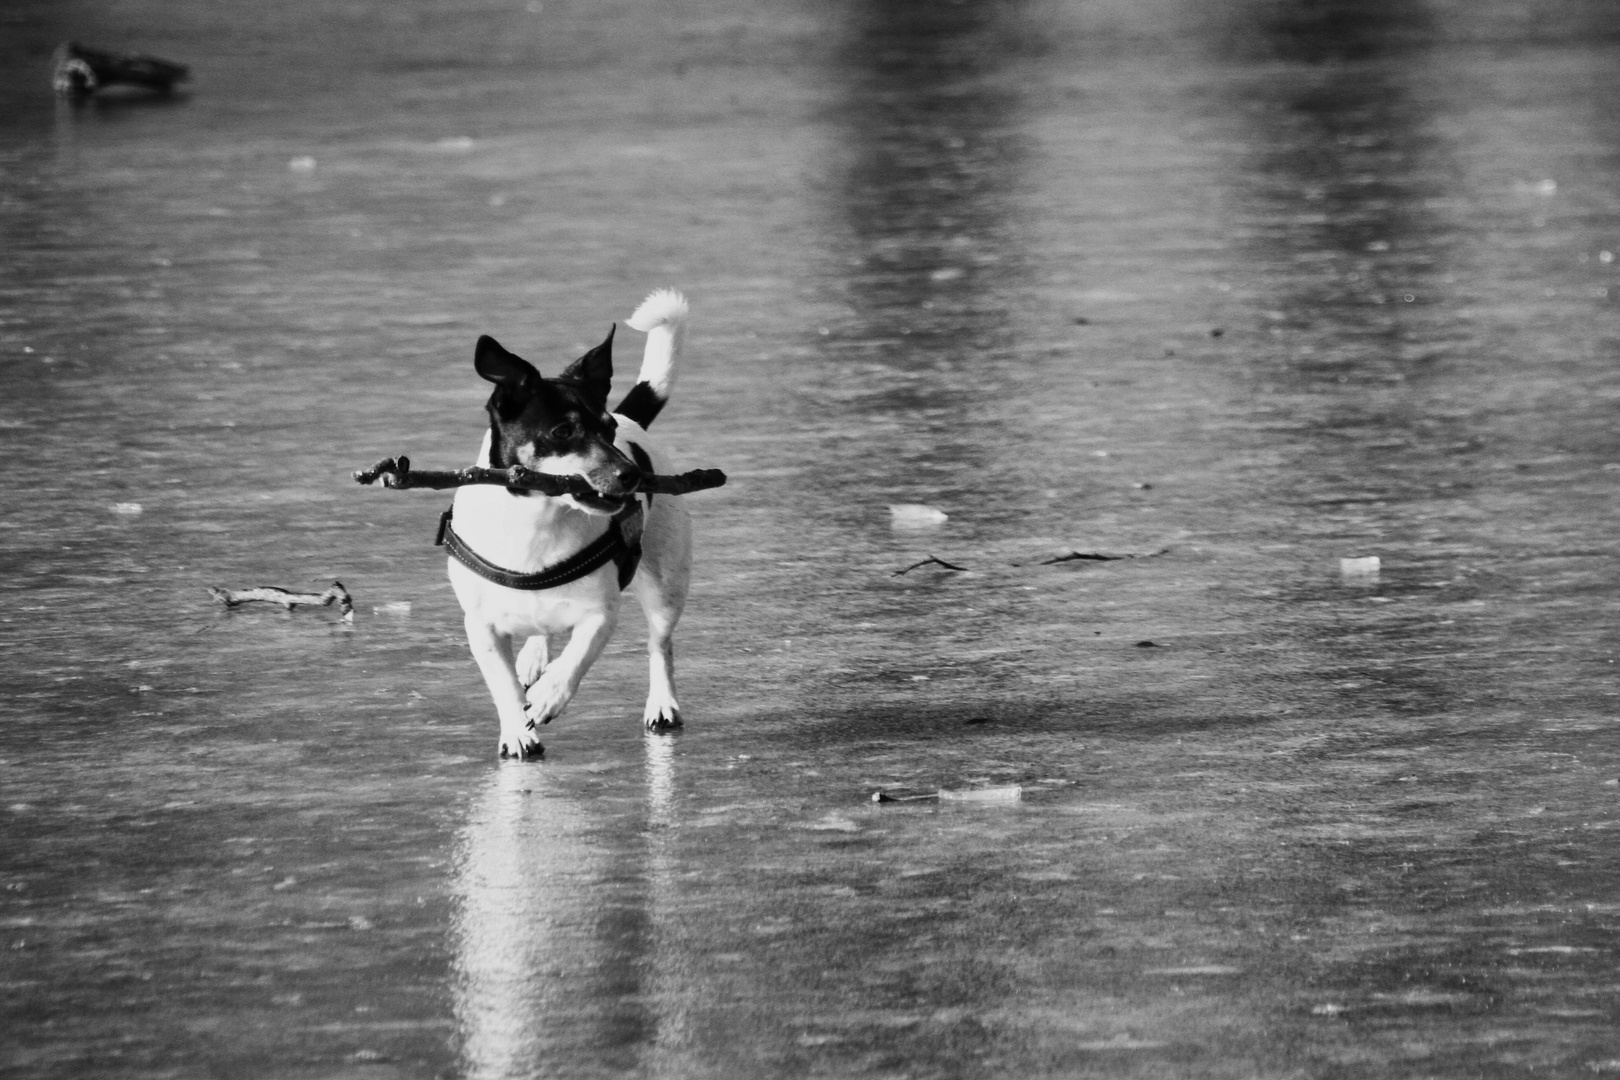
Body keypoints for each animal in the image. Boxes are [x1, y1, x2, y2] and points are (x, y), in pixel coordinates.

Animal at [447, 289, 693, 761]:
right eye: (562, 431)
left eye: (609, 429)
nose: (631, 476)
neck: (537, 518)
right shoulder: (481, 627)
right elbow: (503, 686)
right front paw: (517, 732)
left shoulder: (600, 614)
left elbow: (575, 659)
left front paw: (548, 697)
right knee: (540, 634)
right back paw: (532, 657)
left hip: (666, 585)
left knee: (660, 644)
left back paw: (662, 703)